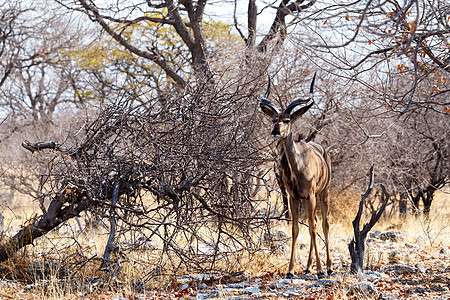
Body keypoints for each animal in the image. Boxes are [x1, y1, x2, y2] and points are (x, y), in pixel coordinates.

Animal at [258, 74, 332, 278]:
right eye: (274, 119)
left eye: (287, 120)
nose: (275, 131)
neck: (298, 167)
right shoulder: (293, 197)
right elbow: (295, 229)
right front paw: (290, 270)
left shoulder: (312, 195)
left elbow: (313, 229)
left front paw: (320, 270)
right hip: (306, 200)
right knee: (315, 222)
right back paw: (307, 267)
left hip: (324, 194)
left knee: (324, 224)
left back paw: (329, 267)